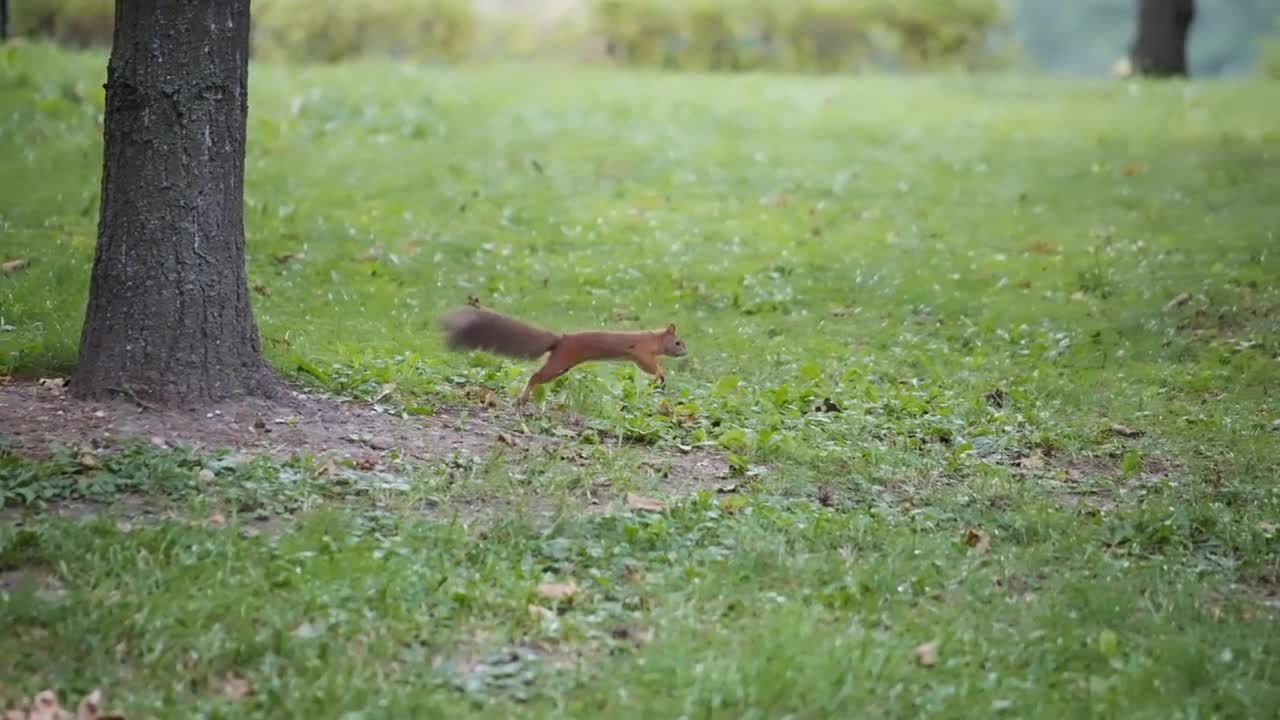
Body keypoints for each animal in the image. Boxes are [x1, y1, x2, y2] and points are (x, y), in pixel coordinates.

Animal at [437, 302, 686, 404]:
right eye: (678, 342)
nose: (685, 352)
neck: (654, 338)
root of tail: (561, 339)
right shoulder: (641, 351)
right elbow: (649, 365)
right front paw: (659, 375)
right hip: (560, 362)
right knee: (535, 376)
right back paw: (523, 397)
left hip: (561, 364)